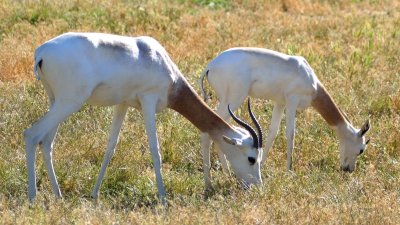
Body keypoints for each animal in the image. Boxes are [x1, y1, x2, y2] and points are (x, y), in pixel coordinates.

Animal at [24, 32, 262, 203]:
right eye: (251, 158)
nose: (257, 186)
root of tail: (41, 52)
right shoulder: (148, 101)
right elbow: (155, 150)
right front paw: (163, 198)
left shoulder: (123, 104)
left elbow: (110, 147)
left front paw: (94, 194)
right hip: (69, 102)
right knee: (32, 134)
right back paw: (33, 198)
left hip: (56, 100)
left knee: (47, 142)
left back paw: (58, 196)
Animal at [200, 47, 372, 172]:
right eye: (362, 149)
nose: (348, 169)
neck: (310, 80)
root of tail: (210, 66)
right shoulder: (292, 101)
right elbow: (291, 133)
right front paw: (290, 168)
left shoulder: (280, 103)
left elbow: (272, 132)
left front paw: (262, 163)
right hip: (233, 100)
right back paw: (226, 171)